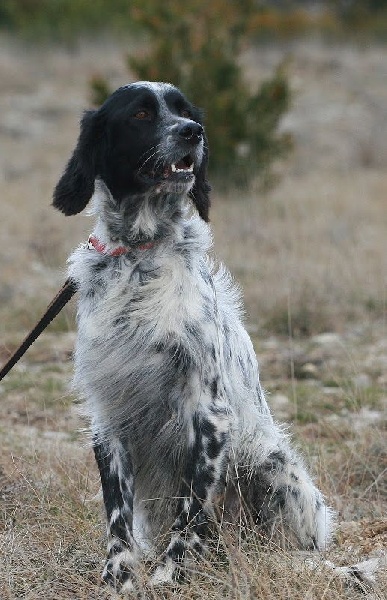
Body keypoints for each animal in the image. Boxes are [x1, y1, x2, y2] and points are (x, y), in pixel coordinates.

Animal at [53, 82, 334, 592]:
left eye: (186, 112)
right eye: (141, 114)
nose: (193, 132)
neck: (139, 255)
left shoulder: (210, 415)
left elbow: (192, 508)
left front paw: (170, 574)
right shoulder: (108, 415)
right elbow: (117, 514)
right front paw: (120, 575)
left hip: (272, 462)